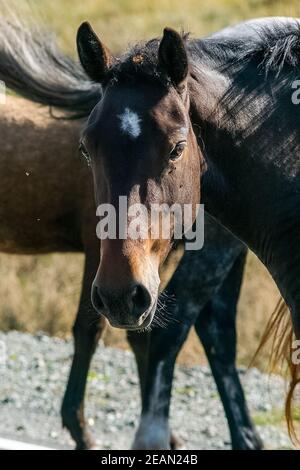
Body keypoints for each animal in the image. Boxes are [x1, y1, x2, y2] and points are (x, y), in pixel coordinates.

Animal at [0, 14, 262, 450]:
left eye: (176, 148)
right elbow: (91, 329)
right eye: (85, 148)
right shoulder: (102, 254)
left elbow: (142, 331)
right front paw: (83, 429)